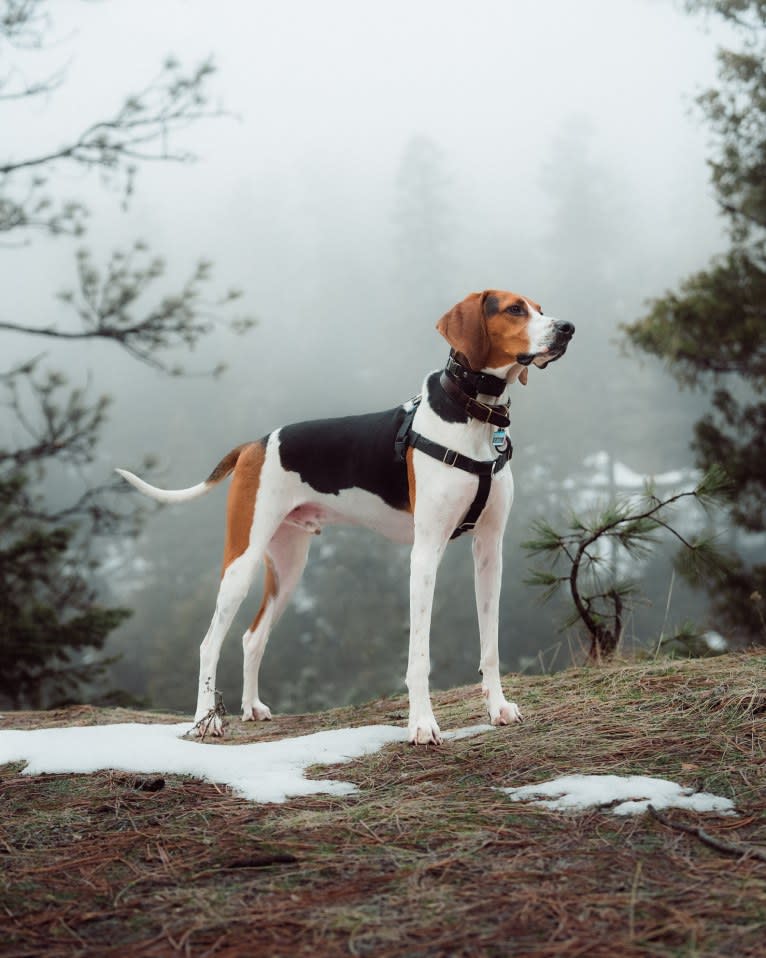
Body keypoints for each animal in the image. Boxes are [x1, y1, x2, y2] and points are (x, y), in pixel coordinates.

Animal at [117, 288, 572, 748]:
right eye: (514, 309)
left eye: (541, 308)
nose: (568, 328)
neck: (475, 414)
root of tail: (254, 444)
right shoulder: (425, 555)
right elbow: (419, 656)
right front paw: (422, 724)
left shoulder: (489, 551)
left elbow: (490, 643)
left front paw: (498, 708)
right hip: (242, 563)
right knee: (210, 643)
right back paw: (206, 720)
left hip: (288, 569)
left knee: (252, 637)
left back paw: (251, 708)